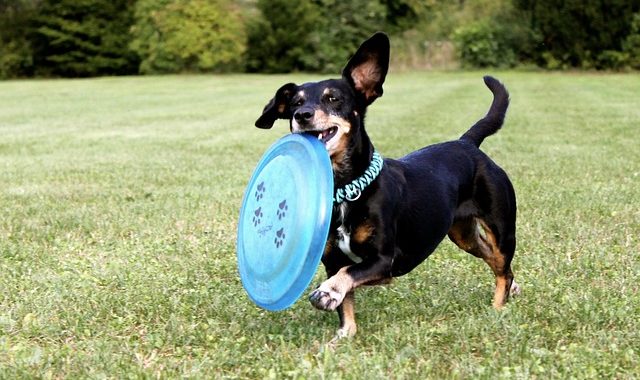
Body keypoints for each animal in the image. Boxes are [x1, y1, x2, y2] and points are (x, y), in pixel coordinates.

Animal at [255, 32, 520, 340]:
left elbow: (349, 275)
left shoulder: (384, 260)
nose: (303, 115)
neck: (347, 191)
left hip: (502, 229)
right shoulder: (334, 260)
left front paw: (327, 292)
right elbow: (346, 303)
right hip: (463, 234)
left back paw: (498, 307)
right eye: (295, 104)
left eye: (333, 98)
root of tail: (467, 144)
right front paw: (343, 335)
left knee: (503, 267)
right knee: (495, 261)